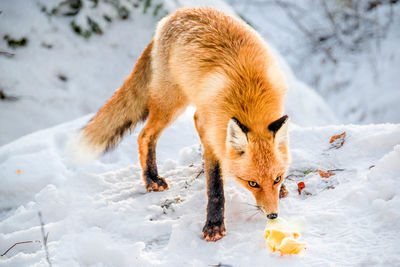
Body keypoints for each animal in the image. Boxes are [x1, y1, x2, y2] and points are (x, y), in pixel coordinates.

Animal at [72, 7, 290, 243]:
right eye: (252, 183)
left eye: (277, 178)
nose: (273, 215)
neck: (249, 96)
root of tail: (175, 14)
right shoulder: (213, 135)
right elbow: (215, 187)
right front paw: (214, 225)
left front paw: (283, 188)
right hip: (171, 104)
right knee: (145, 135)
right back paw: (151, 179)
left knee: (187, 120)